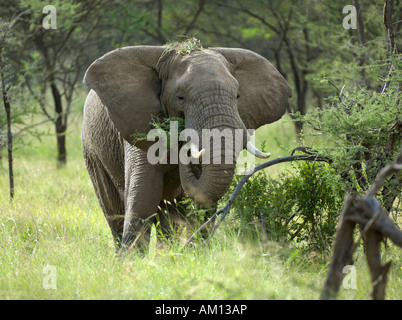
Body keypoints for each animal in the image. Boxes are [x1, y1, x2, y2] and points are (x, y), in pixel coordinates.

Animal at [81, 40, 290, 250]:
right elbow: (143, 194)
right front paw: (132, 258)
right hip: (91, 150)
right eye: (180, 98)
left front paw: (195, 252)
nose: (184, 149)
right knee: (114, 211)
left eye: (238, 96)